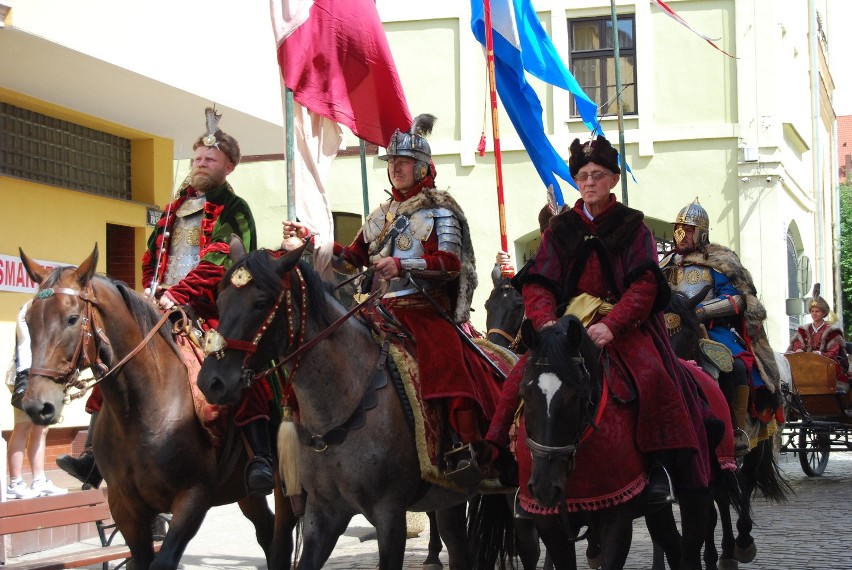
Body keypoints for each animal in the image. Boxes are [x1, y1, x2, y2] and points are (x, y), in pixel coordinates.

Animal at [18, 245, 296, 568]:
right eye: (29, 321)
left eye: (73, 319)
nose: (37, 404)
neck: (140, 411)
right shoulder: (125, 506)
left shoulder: (193, 498)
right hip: (244, 490)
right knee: (266, 532)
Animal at [196, 241, 510, 568]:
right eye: (219, 301)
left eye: (260, 302)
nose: (211, 382)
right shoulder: (322, 514)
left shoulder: (389, 514)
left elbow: (448, 259)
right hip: (450, 495)